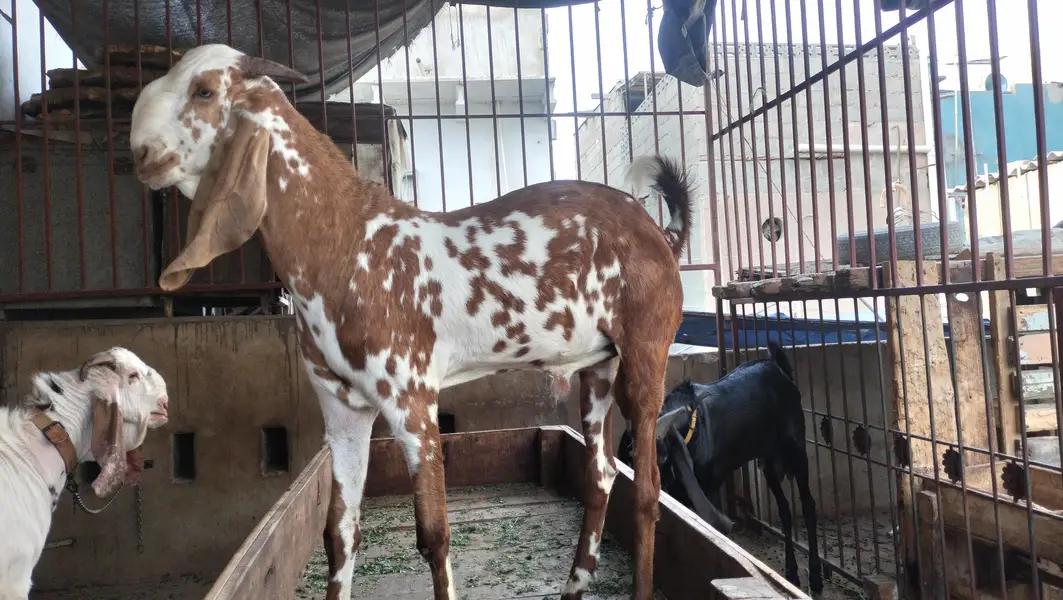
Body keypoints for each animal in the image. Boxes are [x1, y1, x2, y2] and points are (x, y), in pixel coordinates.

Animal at [128, 44, 695, 600]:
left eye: (204, 91)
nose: (141, 155)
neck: (347, 243)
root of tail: (660, 233)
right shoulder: (342, 408)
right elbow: (340, 531)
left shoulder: (412, 399)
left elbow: (434, 535)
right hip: (598, 365)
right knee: (601, 474)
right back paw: (574, 585)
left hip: (646, 353)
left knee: (647, 487)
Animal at [617, 342, 823, 594]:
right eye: (629, 455)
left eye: (661, 456)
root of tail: (779, 367)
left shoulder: (711, 488)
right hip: (768, 463)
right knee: (784, 509)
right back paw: (792, 573)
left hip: (797, 453)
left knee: (808, 506)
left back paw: (815, 577)